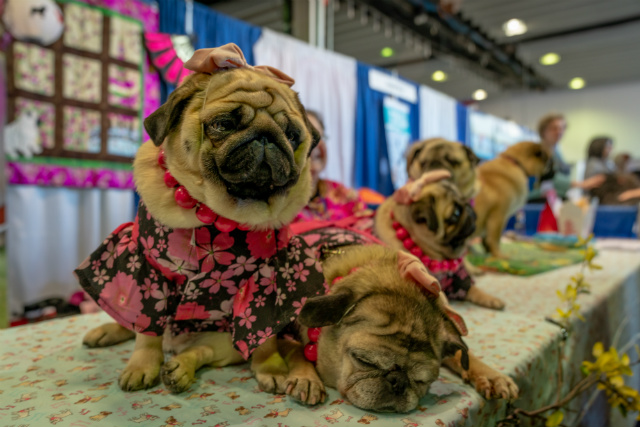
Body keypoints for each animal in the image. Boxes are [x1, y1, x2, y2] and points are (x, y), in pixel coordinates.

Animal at [75, 43, 324, 398]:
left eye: (291, 135)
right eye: (222, 125)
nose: (266, 136)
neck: (219, 215)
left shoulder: (265, 283)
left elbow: (262, 338)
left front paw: (272, 368)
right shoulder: (147, 271)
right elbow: (146, 331)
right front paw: (141, 366)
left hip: (224, 342)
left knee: (201, 351)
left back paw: (179, 369)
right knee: (135, 324)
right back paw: (110, 332)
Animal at [298, 242, 516, 412]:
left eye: (422, 381)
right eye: (364, 361)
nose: (398, 381)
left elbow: (463, 355)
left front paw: (490, 375)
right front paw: (306, 379)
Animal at [376, 171, 504, 310]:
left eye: (464, 199)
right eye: (456, 213)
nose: (469, 209)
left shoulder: (457, 279)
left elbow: (472, 288)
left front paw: (490, 299)